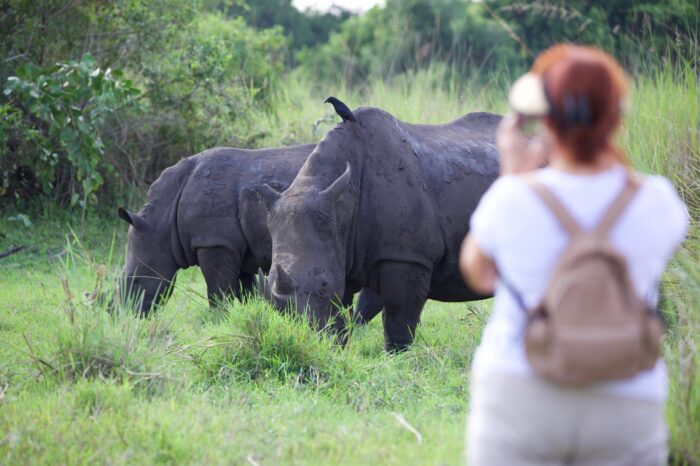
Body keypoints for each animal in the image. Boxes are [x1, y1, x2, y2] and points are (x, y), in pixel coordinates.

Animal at [117, 144, 383, 315]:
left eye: (135, 281)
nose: (125, 316)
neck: (162, 220)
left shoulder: (214, 242)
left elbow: (217, 293)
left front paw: (218, 322)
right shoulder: (238, 249)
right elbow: (245, 294)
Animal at [256, 105, 501, 350]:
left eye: (323, 284)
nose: (303, 340)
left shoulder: (406, 257)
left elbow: (398, 319)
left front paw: (396, 355)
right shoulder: (342, 249)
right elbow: (340, 315)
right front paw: (333, 348)